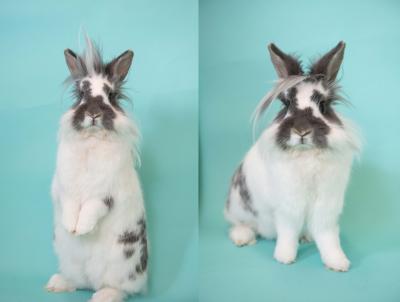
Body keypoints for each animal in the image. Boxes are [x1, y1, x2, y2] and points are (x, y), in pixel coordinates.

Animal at [45, 36, 148, 300]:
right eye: (81, 93)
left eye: (110, 95)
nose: (93, 113)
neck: (92, 140)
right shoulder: (65, 188)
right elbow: (71, 205)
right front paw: (71, 227)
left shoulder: (105, 193)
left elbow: (92, 208)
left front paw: (81, 228)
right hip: (68, 261)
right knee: (77, 281)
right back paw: (56, 284)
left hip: (123, 265)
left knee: (121, 288)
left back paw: (103, 295)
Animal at [225, 42, 362, 272]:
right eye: (287, 104)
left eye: (323, 105)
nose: (302, 131)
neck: (307, 155)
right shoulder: (288, 206)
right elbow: (287, 232)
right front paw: (284, 257)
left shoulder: (326, 206)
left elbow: (328, 236)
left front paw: (338, 262)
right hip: (239, 206)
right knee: (240, 224)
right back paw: (243, 238)